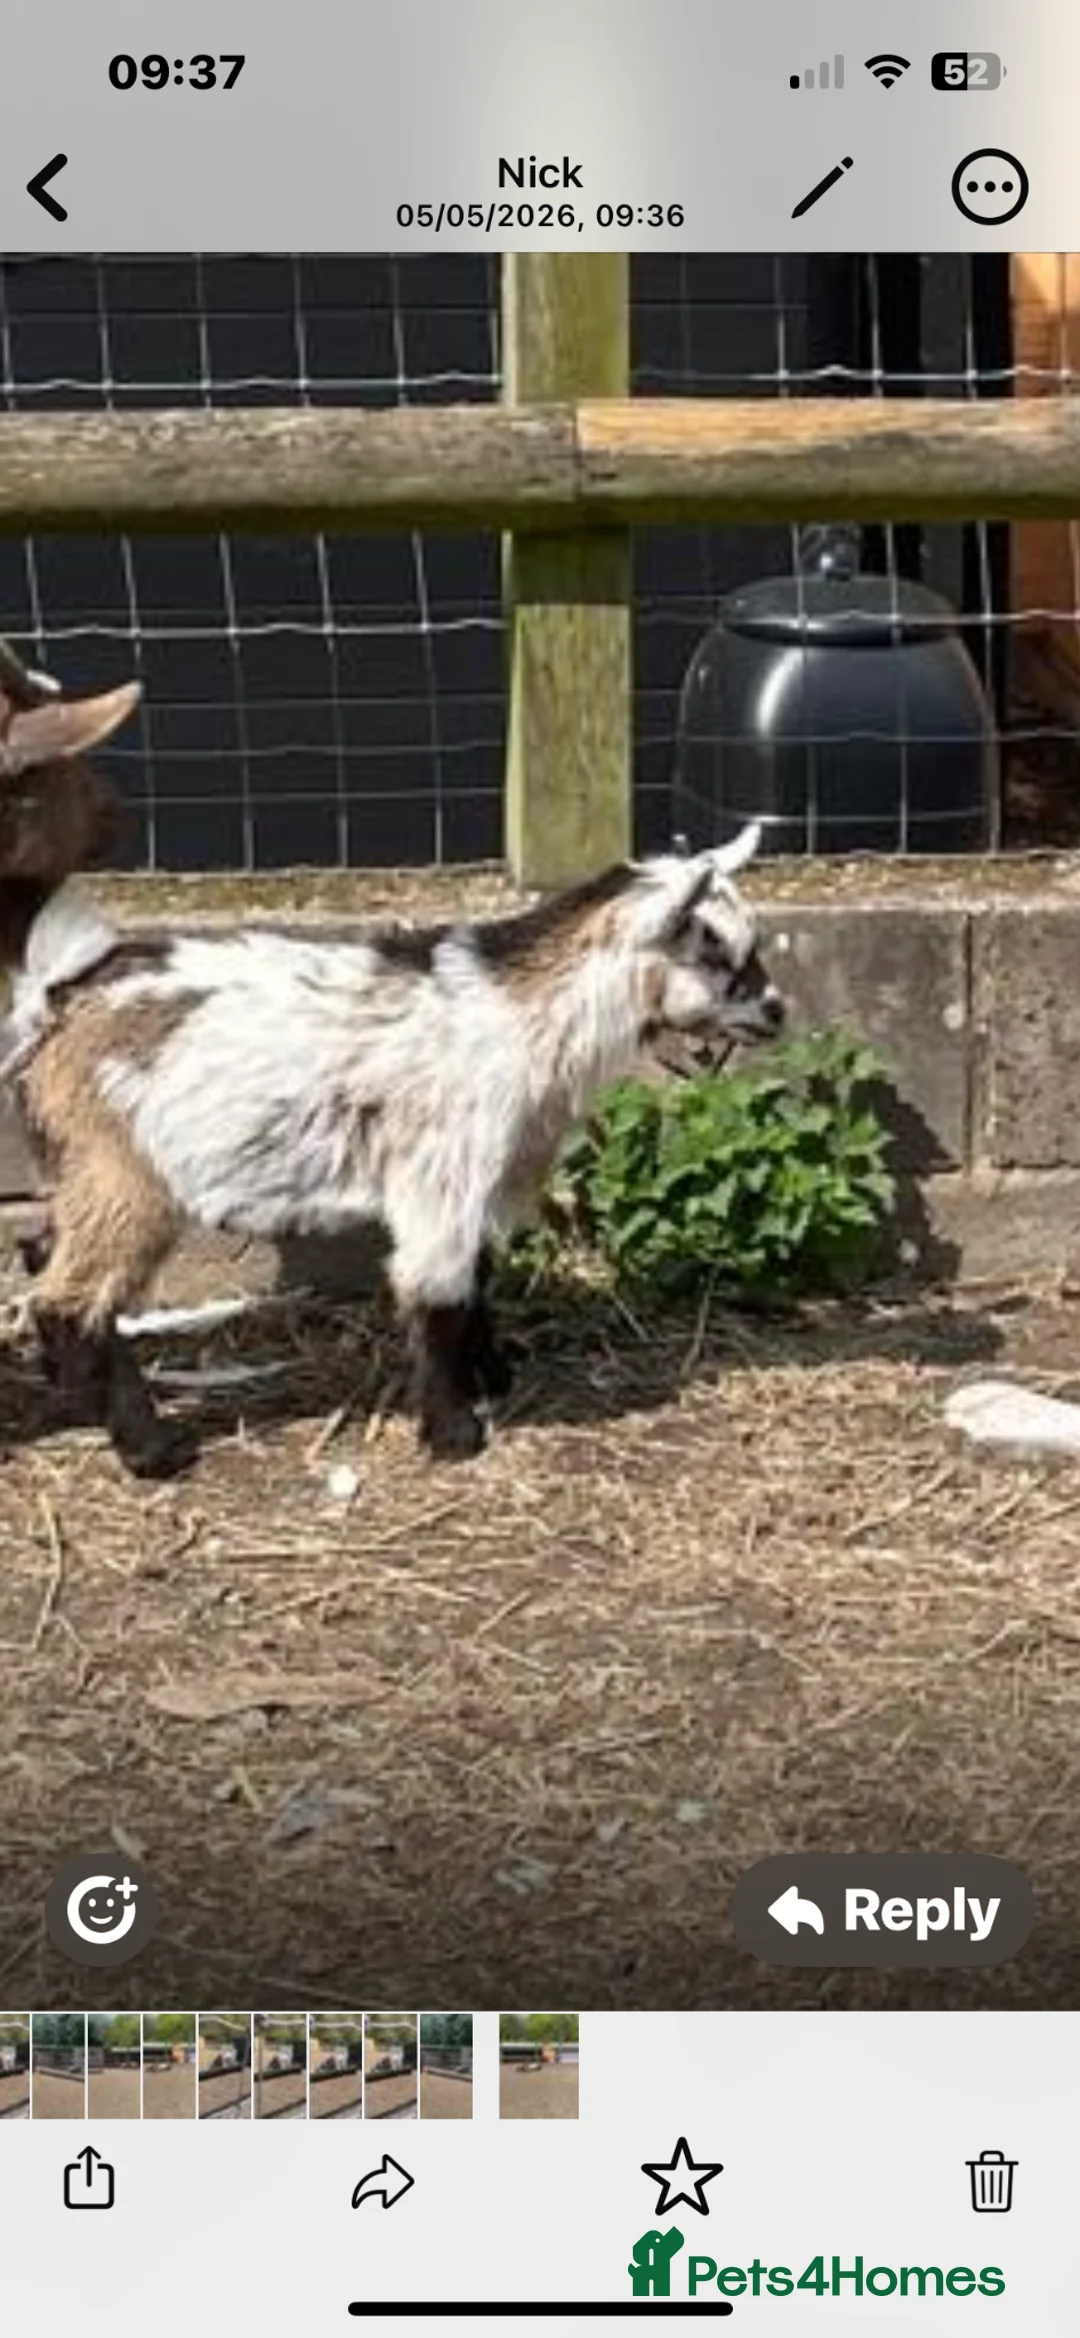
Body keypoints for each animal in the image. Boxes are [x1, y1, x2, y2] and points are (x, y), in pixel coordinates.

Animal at [5, 826, 784, 1476]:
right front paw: (453, 1433)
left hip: (82, 1161)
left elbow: (478, 1275)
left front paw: (494, 1377)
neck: (528, 1015)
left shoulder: (492, 1176)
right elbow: (437, 1290)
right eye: (715, 949)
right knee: (69, 1298)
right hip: (125, 1167)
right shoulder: (444, 1168)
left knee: (43, 1249)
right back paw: (152, 1448)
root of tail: (62, 996)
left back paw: (71, 1389)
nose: (777, 1011)